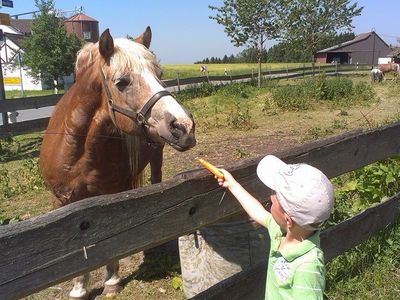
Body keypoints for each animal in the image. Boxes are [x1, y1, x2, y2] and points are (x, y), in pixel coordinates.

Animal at [39, 27, 196, 298]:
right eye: (121, 82)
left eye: (160, 75)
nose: (184, 126)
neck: (76, 153)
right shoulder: (61, 201)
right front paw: (79, 288)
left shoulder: (111, 194)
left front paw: (112, 280)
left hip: (157, 155)